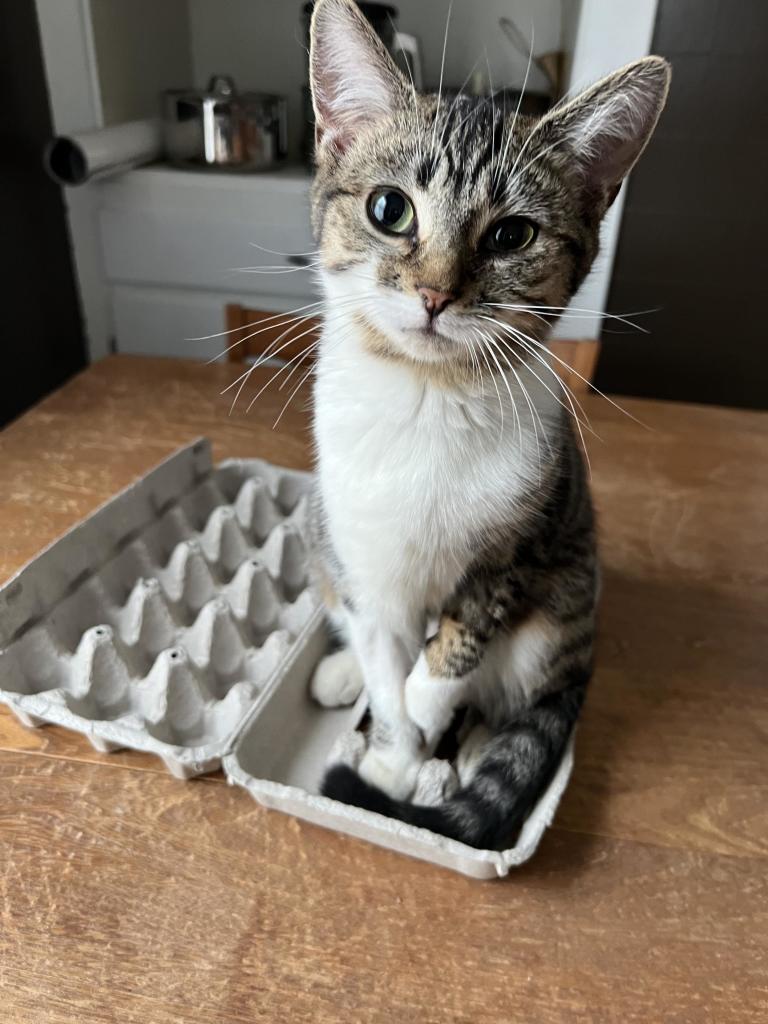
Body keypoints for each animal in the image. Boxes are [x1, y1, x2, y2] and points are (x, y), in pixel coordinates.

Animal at [303, 0, 671, 851]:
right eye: (388, 209)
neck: (425, 396)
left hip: (560, 603)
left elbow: (456, 646)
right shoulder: (365, 556)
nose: (436, 294)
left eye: (512, 236)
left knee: (513, 690)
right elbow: (382, 656)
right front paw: (393, 753)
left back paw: (469, 752)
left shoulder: (519, 543)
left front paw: (422, 714)